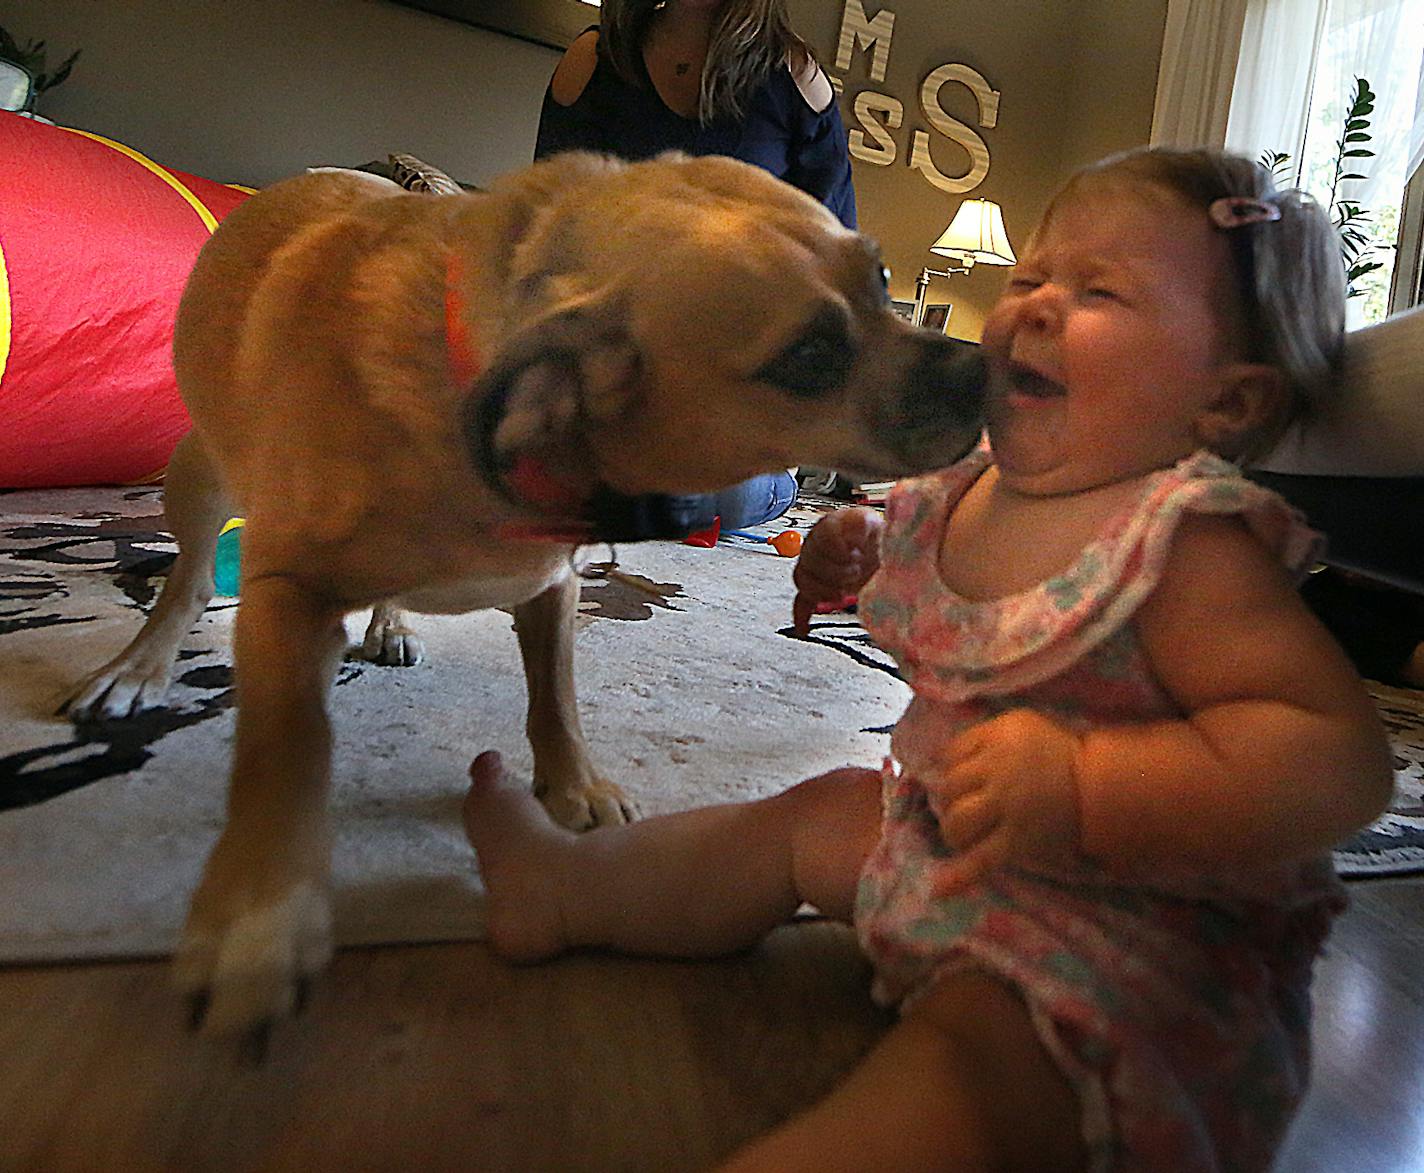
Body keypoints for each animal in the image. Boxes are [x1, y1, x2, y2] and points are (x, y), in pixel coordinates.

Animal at [61, 153, 985, 1036]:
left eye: (881, 280)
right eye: (810, 357)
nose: (986, 369)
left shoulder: (552, 585)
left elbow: (557, 698)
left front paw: (574, 784)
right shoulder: (290, 593)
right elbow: (285, 755)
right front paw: (259, 919)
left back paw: (388, 621)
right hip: (201, 472)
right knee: (182, 583)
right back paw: (139, 665)